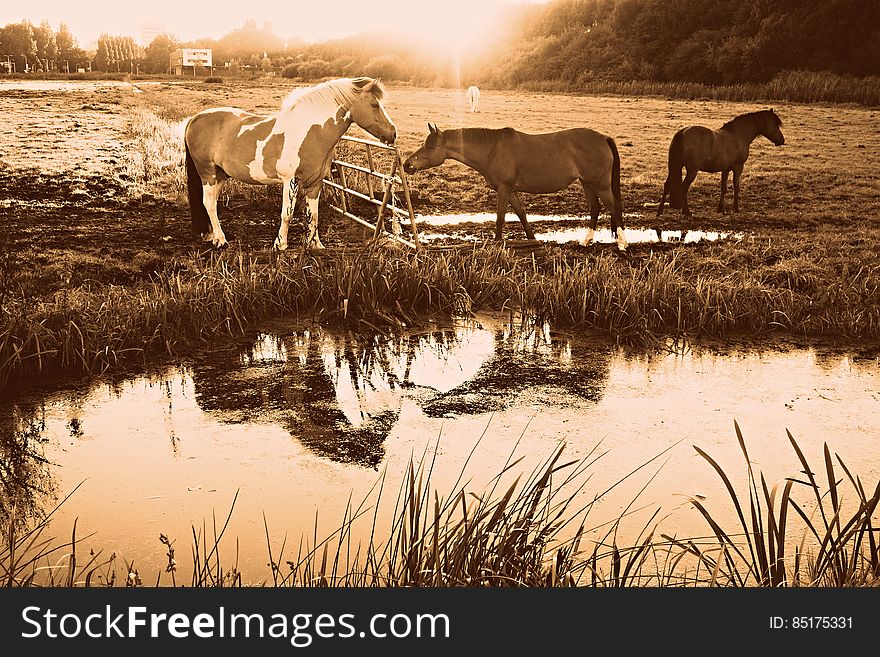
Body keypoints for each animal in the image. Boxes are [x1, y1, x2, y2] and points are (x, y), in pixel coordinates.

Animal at [184, 77, 398, 250]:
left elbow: (314, 215)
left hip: (220, 175)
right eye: (374, 105)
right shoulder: (291, 181)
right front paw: (281, 245)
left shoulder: (315, 183)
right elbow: (287, 214)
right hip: (208, 173)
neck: (309, 131)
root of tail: (194, 119)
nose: (393, 133)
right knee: (209, 204)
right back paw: (221, 240)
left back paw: (212, 236)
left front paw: (315, 244)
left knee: (209, 203)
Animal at [400, 121, 624, 247]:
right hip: (588, 183)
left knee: (614, 207)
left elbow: (500, 217)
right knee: (595, 208)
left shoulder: (504, 189)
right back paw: (586, 242)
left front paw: (498, 243)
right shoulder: (512, 191)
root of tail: (603, 138)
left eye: (431, 146)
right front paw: (532, 240)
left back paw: (622, 243)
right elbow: (522, 215)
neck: (492, 150)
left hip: (601, 185)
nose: (407, 164)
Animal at [656, 108, 788, 226]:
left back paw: (660, 211)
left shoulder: (725, 169)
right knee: (684, 187)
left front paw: (720, 209)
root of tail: (683, 133)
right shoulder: (738, 167)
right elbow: (736, 187)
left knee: (667, 185)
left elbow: (723, 188)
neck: (738, 135)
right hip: (692, 170)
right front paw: (735, 208)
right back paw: (686, 212)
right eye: (775, 125)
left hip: (675, 166)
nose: (782, 140)